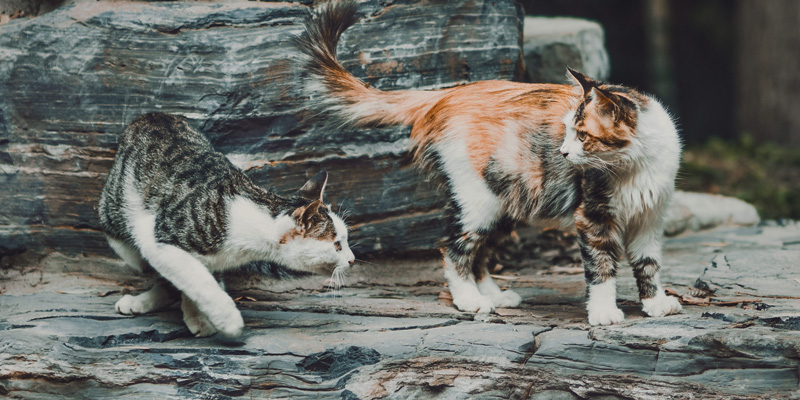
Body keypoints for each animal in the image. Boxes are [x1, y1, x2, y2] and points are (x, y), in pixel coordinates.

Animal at [98, 112, 354, 338]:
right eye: (337, 244)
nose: (352, 260)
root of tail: (151, 115)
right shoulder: (157, 239)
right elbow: (197, 279)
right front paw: (228, 320)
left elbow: (195, 279)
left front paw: (198, 316)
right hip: (118, 227)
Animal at [296, 0, 684, 324]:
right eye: (567, 132)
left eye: (582, 135)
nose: (562, 153)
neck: (636, 165)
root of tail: (446, 95)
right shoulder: (593, 218)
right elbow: (601, 267)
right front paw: (604, 312)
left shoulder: (651, 219)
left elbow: (648, 264)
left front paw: (654, 303)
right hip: (477, 199)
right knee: (454, 249)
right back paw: (470, 300)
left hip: (506, 202)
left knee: (479, 253)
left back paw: (494, 296)